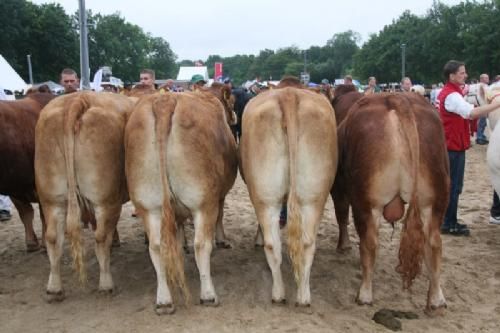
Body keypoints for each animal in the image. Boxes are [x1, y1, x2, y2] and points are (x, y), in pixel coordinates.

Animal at [34, 91, 135, 300]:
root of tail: (78, 99)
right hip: (106, 200)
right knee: (101, 237)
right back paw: (106, 283)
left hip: (51, 199)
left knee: (53, 238)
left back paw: (54, 288)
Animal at [123, 81, 236, 312]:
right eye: (231, 103)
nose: (235, 118)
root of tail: (166, 100)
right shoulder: (218, 196)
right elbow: (219, 217)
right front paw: (222, 240)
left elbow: (179, 226)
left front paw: (181, 243)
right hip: (202, 201)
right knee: (201, 244)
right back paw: (208, 295)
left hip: (148, 204)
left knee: (157, 246)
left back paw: (164, 300)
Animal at [239, 78, 338, 306]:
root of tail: (289, 95)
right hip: (311, 196)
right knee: (301, 243)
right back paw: (299, 295)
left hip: (269, 197)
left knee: (277, 244)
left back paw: (283, 294)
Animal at [332, 91, 450, 314]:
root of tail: (397, 99)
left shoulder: (338, 188)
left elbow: (341, 215)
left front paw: (343, 245)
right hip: (435, 200)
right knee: (434, 244)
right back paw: (436, 299)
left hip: (367, 201)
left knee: (369, 243)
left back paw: (365, 294)